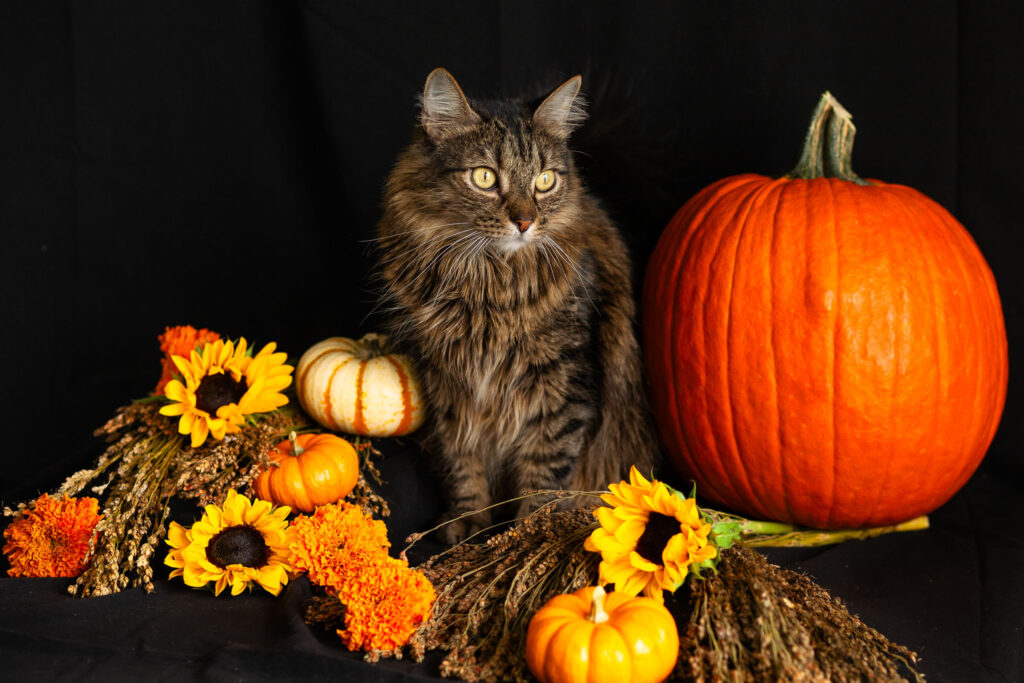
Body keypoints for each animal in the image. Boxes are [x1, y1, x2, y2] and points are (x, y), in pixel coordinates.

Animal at [376, 68, 655, 540]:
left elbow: (544, 477)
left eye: (545, 180)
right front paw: (468, 525)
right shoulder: (447, 384)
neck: (488, 286)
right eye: (485, 178)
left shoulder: (563, 388)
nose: (525, 222)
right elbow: (461, 466)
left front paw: (524, 535)